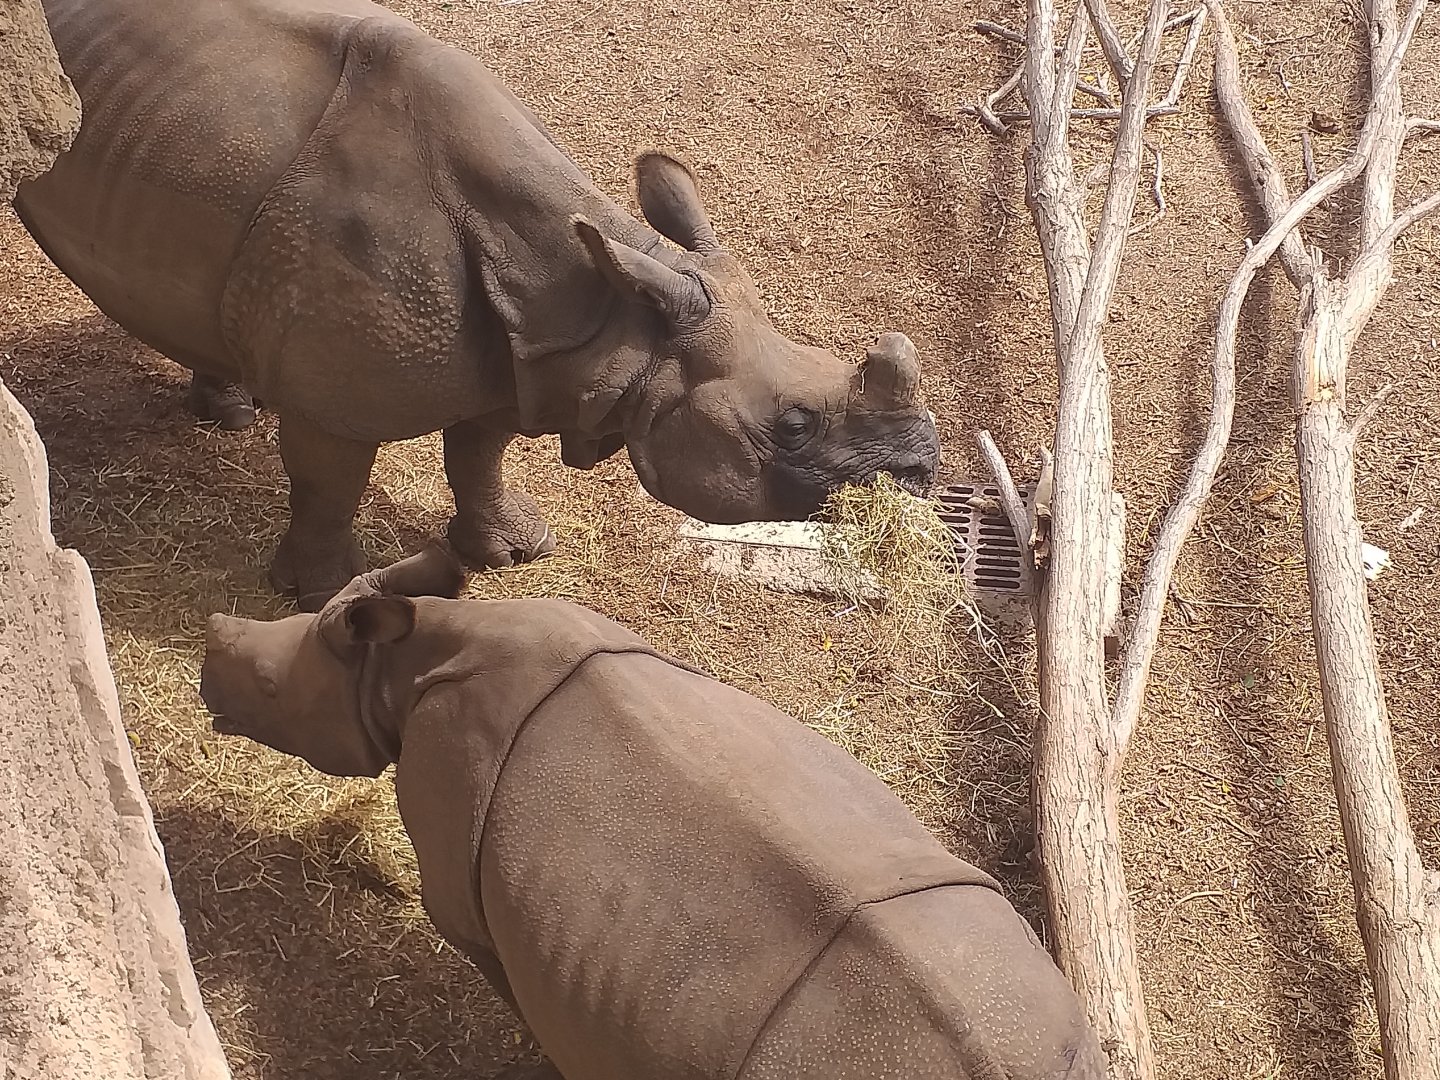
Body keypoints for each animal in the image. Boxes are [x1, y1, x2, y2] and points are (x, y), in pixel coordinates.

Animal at [14, 0, 941, 611]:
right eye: (794, 423)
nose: (924, 474)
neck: (614, 312)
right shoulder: (340, 402)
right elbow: (331, 480)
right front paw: (325, 595)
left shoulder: (518, 352)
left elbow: (479, 452)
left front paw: (515, 552)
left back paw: (232, 408)